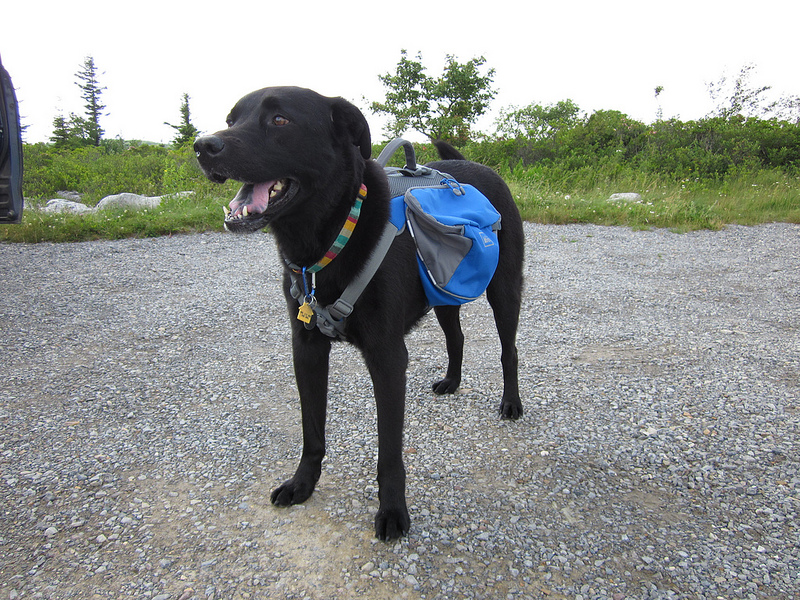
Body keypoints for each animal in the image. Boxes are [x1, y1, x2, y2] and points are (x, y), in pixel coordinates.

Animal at [191, 86, 520, 540]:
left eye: (280, 119)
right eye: (231, 119)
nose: (203, 146)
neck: (332, 238)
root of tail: (478, 165)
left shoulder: (387, 357)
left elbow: (389, 454)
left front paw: (393, 510)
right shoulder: (307, 349)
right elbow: (312, 432)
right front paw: (303, 484)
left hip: (503, 289)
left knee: (509, 350)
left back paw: (511, 403)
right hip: (442, 290)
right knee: (457, 336)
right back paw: (452, 381)